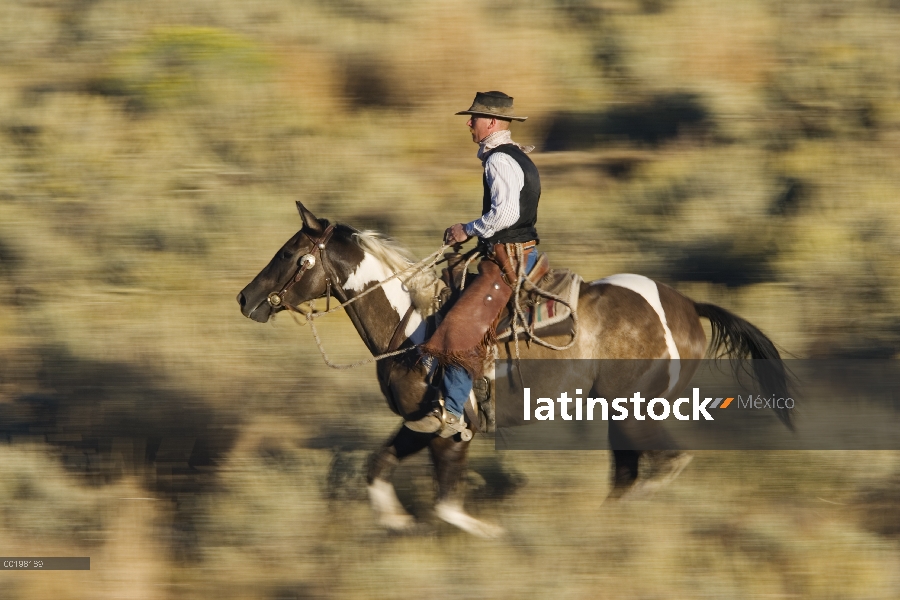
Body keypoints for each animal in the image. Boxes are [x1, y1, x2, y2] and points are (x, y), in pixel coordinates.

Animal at [237, 203, 788, 540]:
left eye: (290, 253)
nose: (245, 298)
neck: (412, 325)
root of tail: (688, 307)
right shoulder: (421, 424)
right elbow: (377, 470)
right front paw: (397, 523)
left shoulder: (451, 430)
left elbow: (448, 506)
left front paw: (495, 534)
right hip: (619, 415)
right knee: (629, 473)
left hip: (637, 411)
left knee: (667, 463)